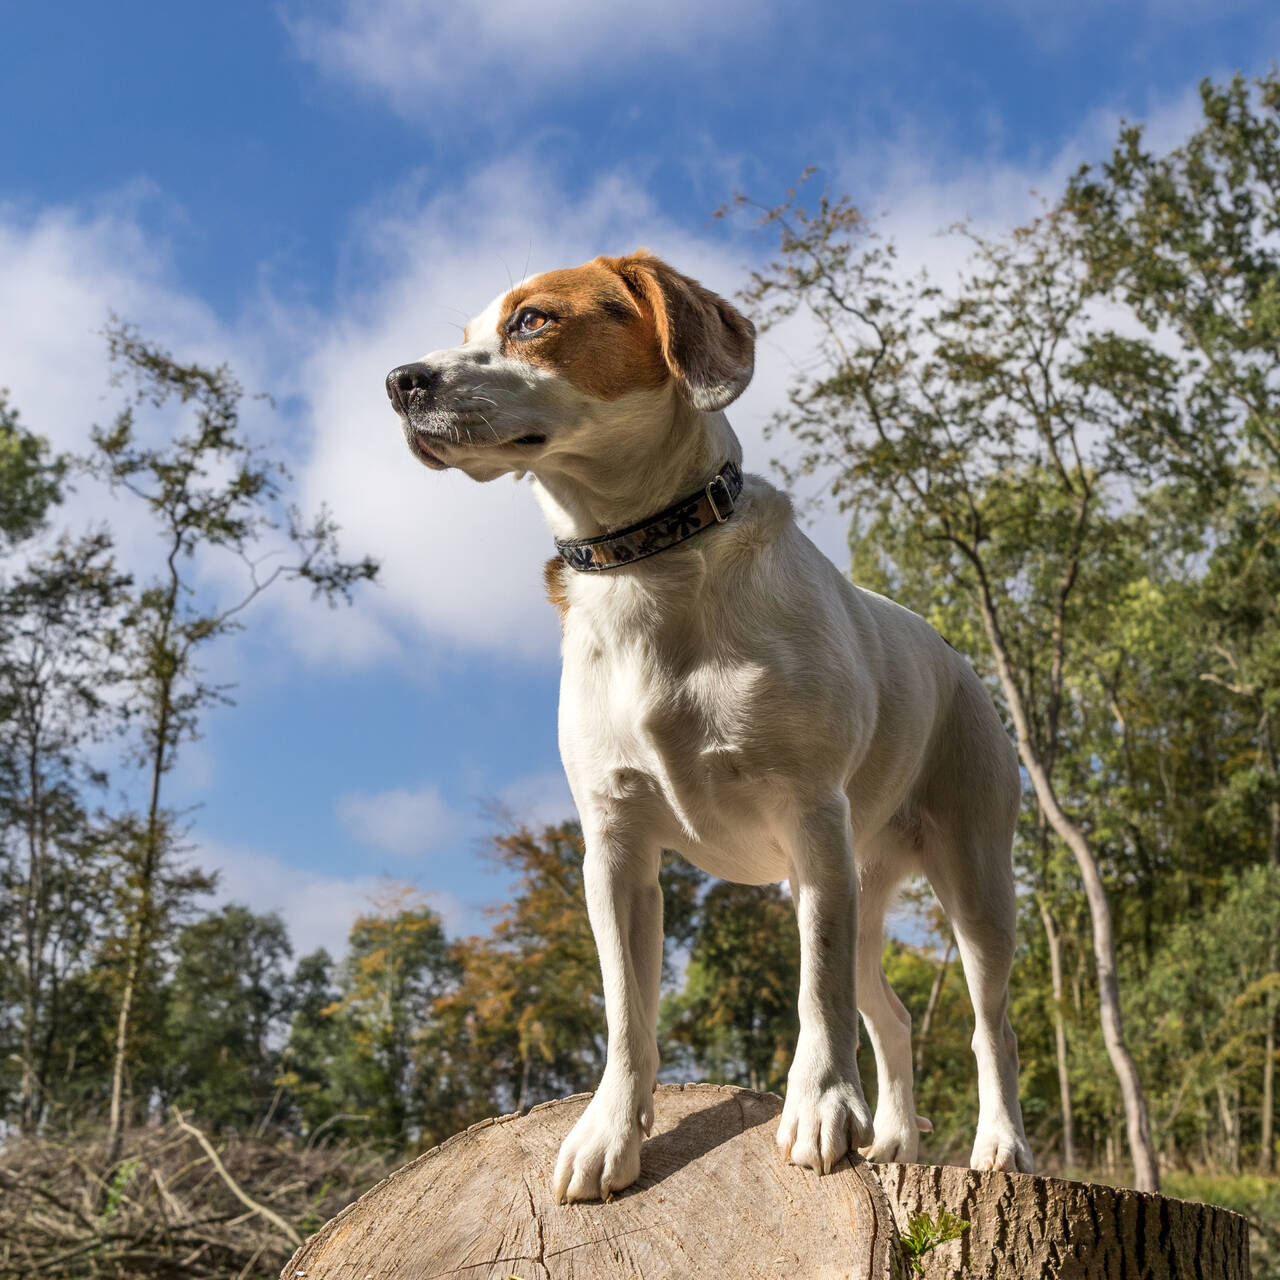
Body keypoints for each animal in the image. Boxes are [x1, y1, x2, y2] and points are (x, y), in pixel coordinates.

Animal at [384, 249, 1034, 1198]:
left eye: (533, 321)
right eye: (466, 331)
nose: (400, 381)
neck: (648, 563)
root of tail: (953, 657)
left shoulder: (810, 817)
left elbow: (815, 996)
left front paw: (821, 1107)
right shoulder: (616, 847)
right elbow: (628, 1014)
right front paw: (608, 1134)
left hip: (970, 882)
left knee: (989, 1027)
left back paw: (1000, 1145)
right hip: (855, 883)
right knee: (893, 1016)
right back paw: (893, 1141)